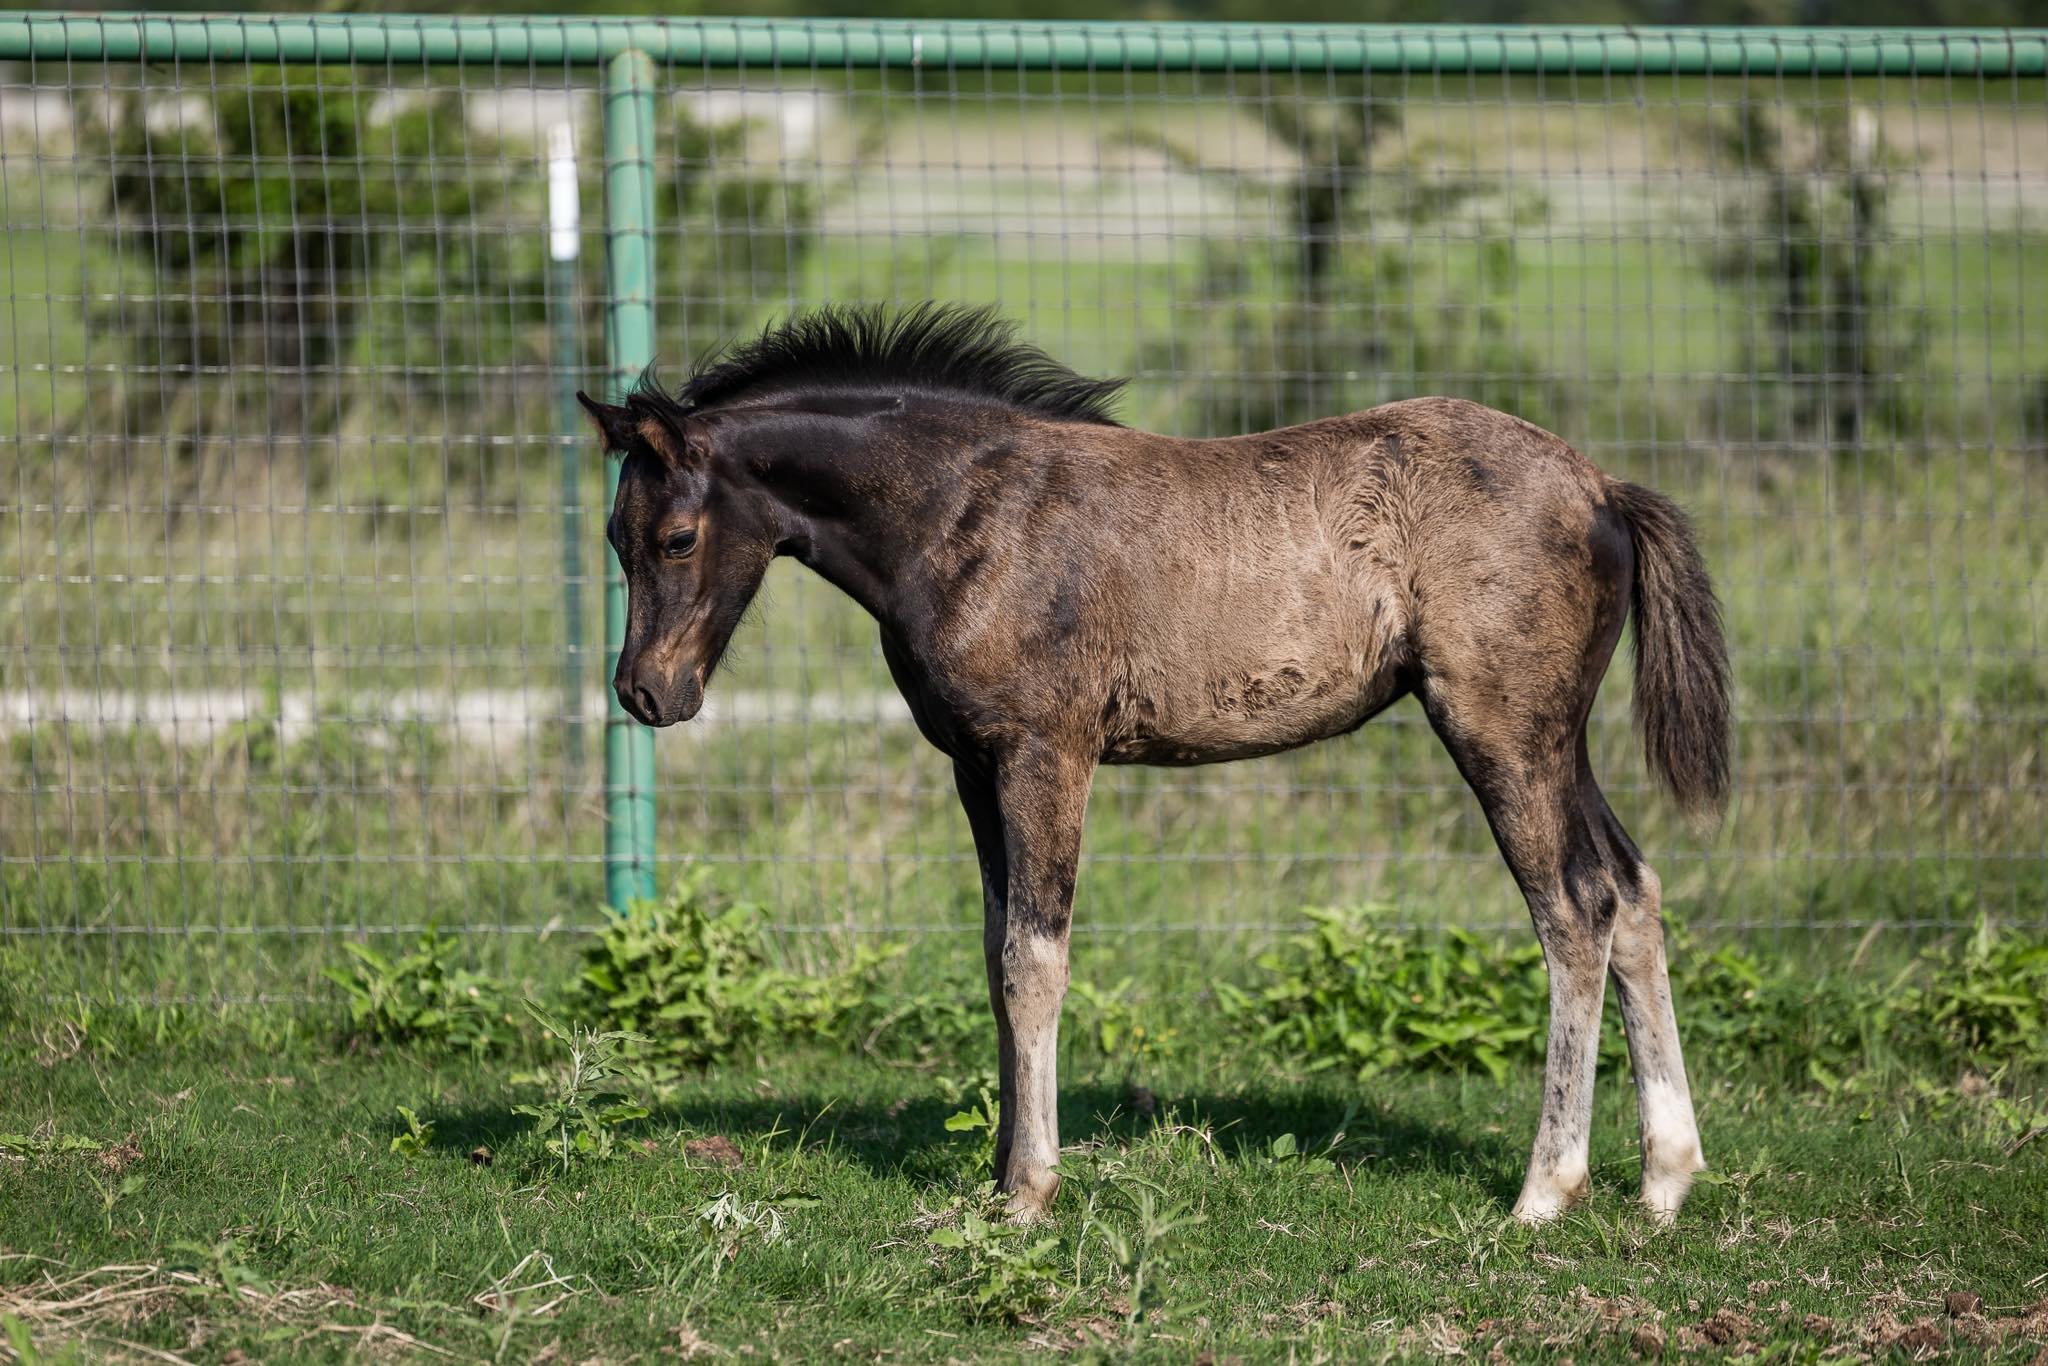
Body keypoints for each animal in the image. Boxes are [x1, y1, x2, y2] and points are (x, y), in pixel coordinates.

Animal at [580, 302, 1731, 1225]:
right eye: (611, 537)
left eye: (676, 538)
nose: (644, 693)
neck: (966, 511)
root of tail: (1602, 485)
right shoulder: (972, 765)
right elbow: (994, 954)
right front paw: (999, 1175)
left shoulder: (1047, 752)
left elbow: (1034, 958)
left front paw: (1032, 1192)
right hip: (1554, 739)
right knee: (1632, 887)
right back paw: (1665, 1178)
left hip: (1499, 731)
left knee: (1574, 907)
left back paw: (1545, 1190)